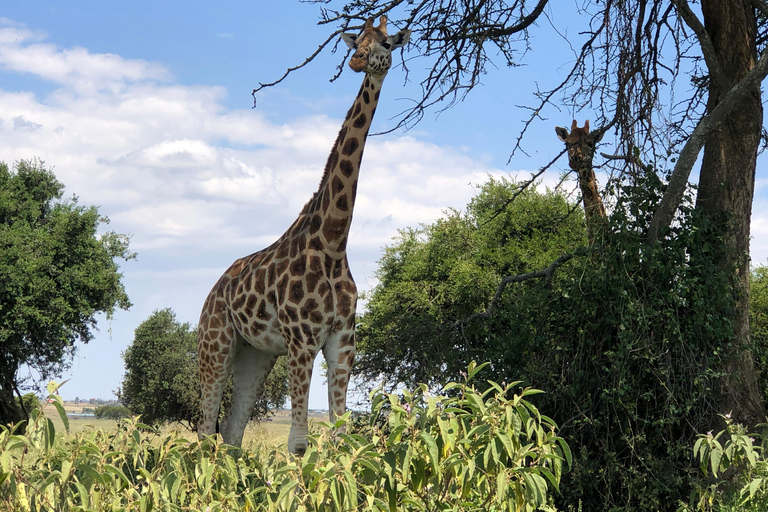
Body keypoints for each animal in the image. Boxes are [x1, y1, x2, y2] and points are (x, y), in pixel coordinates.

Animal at [198, 17, 412, 456]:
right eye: (357, 40)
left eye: (385, 42)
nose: (358, 60)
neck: (332, 241)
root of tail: (213, 290)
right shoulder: (301, 341)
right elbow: (298, 442)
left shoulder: (343, 342)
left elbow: (344, 436)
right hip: (216, 342)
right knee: (205, 428)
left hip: (255, 353)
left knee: (232, 434)